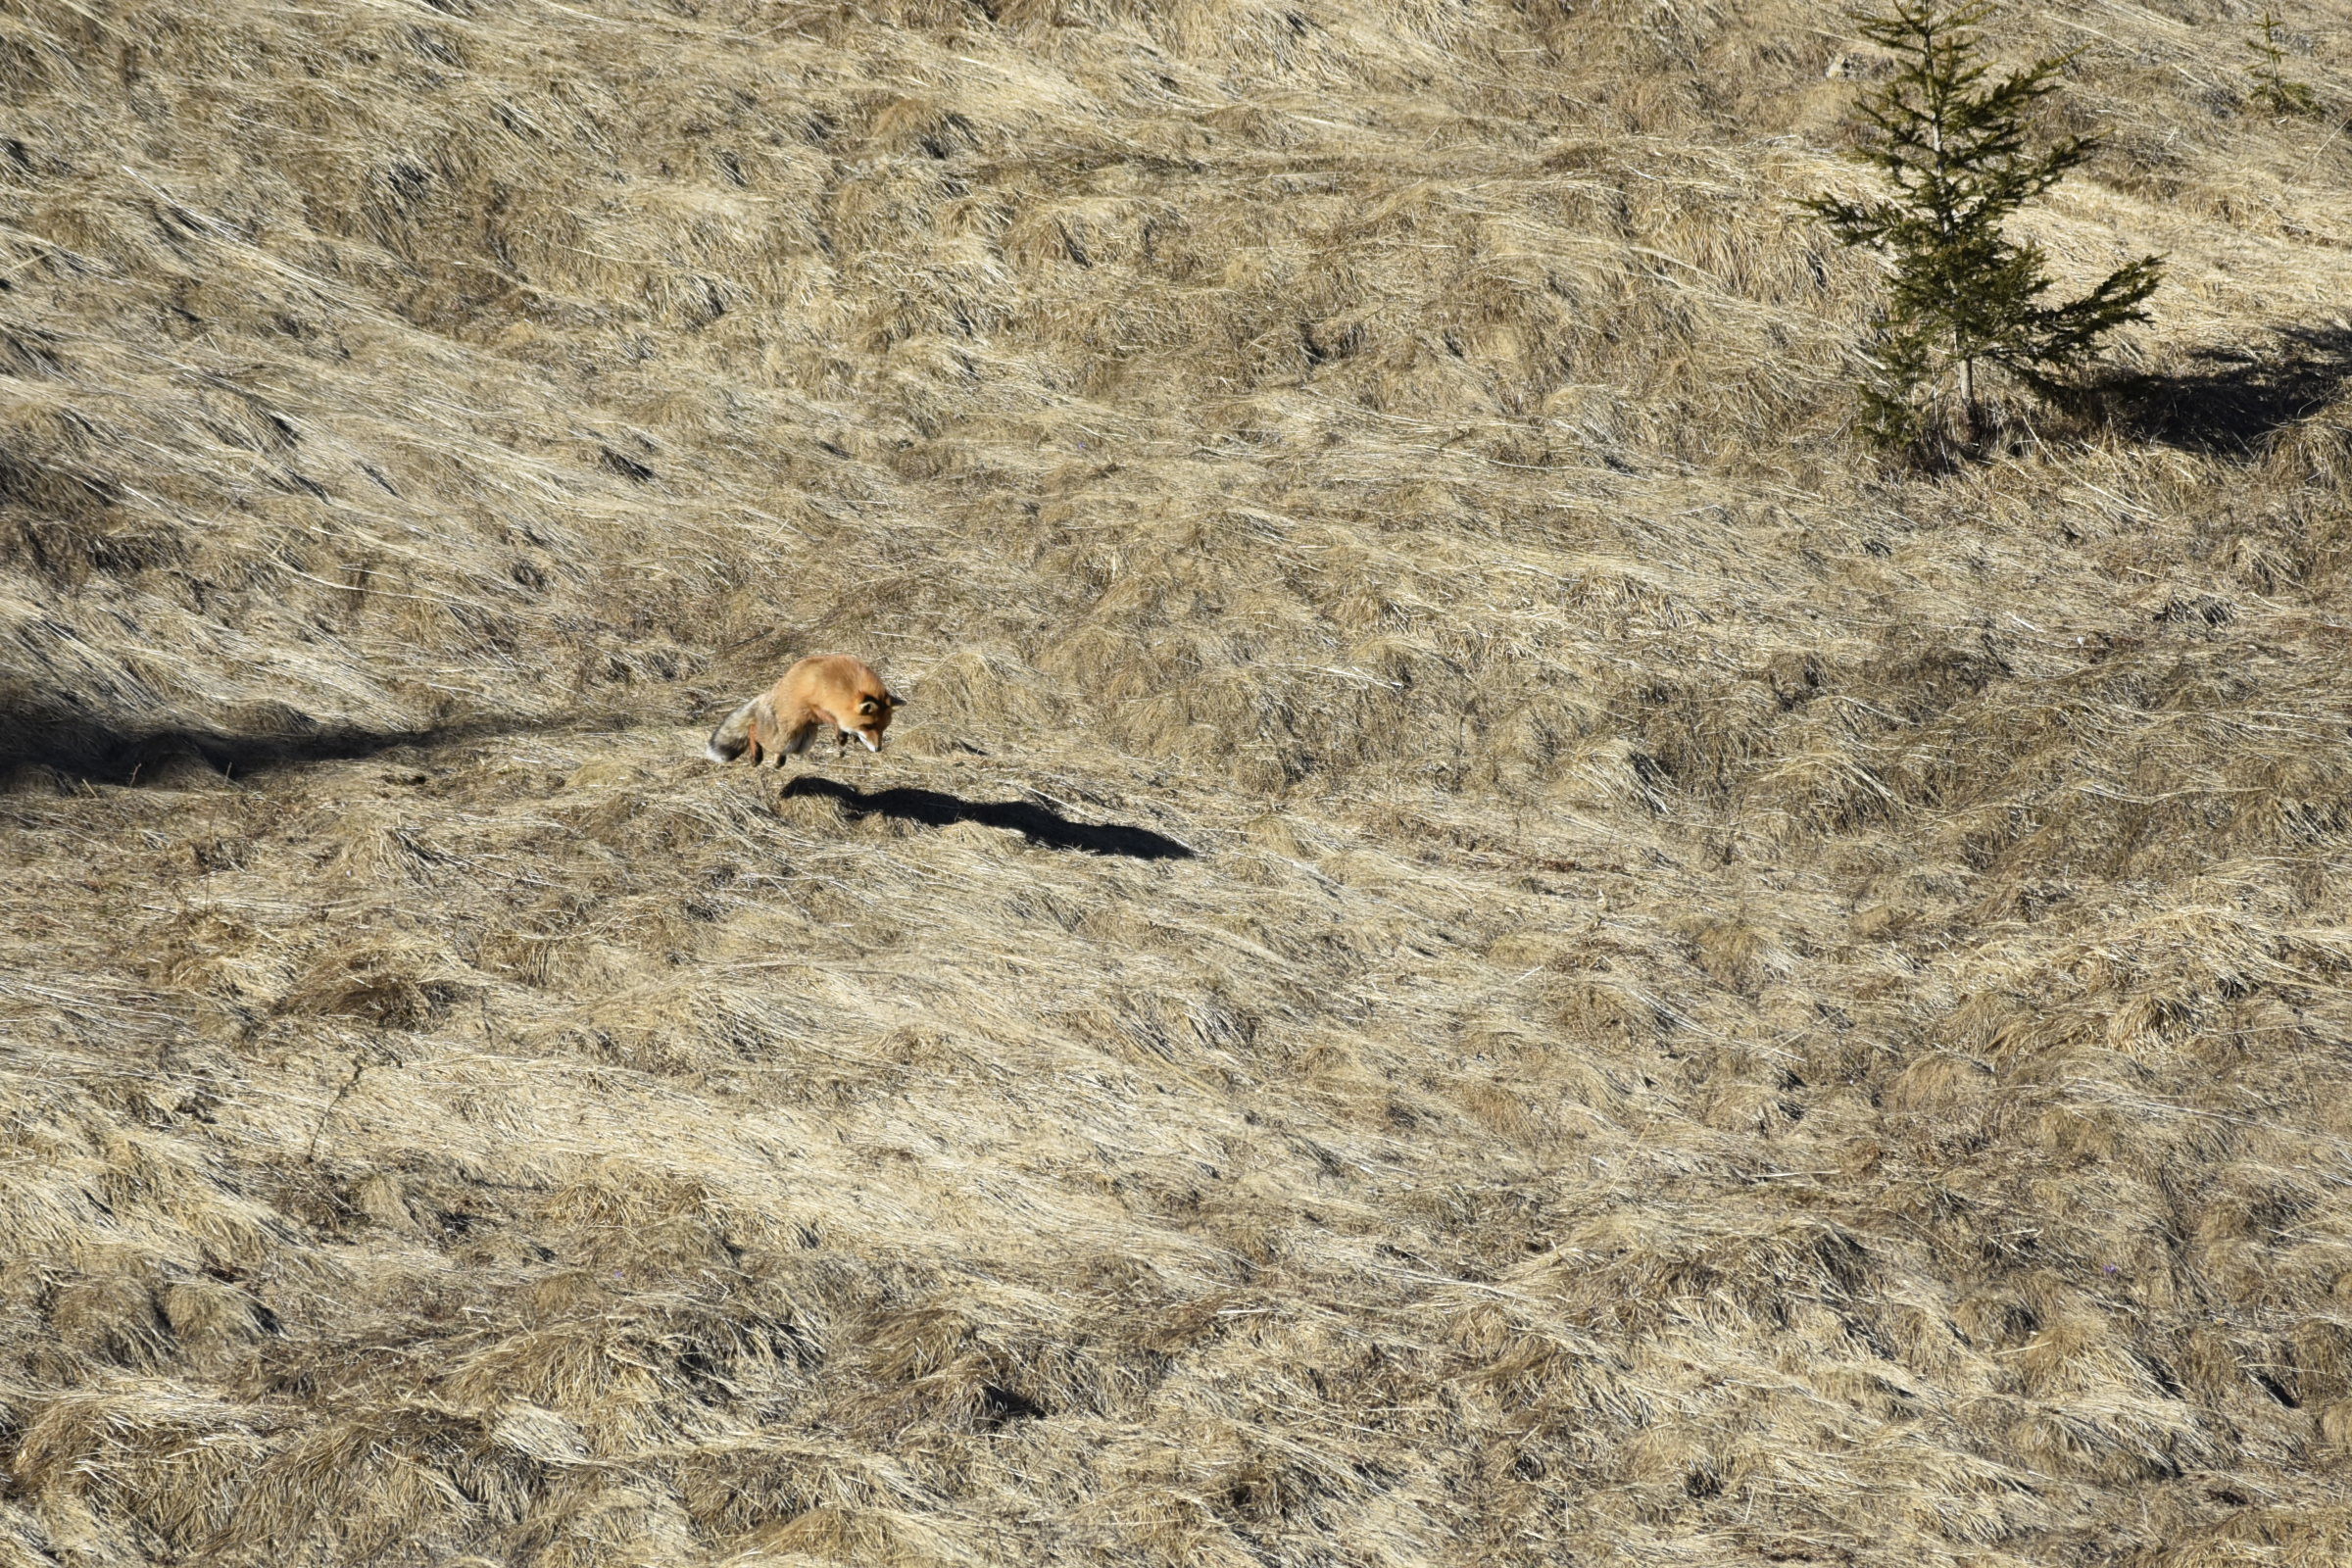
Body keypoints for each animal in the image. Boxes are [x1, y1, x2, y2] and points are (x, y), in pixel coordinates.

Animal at [704, 654, 905, 767]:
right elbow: (834, 720)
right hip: (783, 739)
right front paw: (842, 735)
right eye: (868, 726)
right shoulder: (813, 706)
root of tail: (767, 695)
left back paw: (778, 762)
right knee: (753, 729)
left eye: (883, 729)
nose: (878, 749)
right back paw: (756, 755)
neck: (838, 684)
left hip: (801, 743)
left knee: (780, 751)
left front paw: (850, 736)